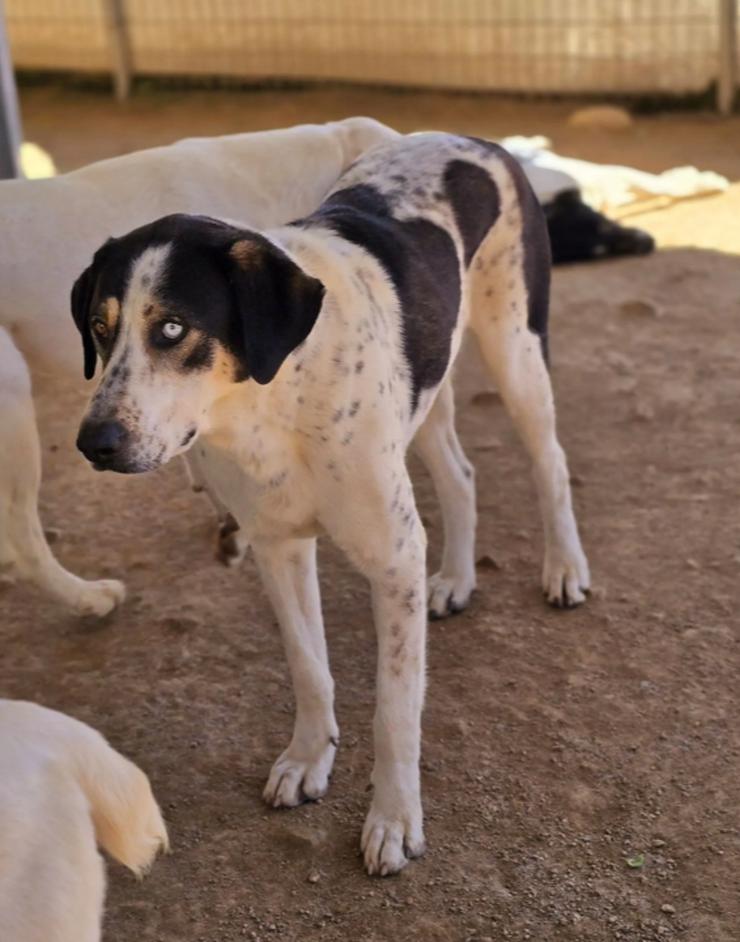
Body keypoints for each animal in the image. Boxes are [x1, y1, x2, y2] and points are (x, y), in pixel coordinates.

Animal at [71, 133, 588, 876]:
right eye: (98, 326)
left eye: (171, 328)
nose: (93, 443)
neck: (270, 403)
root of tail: (477, 140)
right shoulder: (278, 548)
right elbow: (309, 668)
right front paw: (308, 759)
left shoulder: (392, 560)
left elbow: (396, 709)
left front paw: (394, 820)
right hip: (428, 389)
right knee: (461, 475)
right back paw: (457, 579)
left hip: (516, 350)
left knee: (551, 462)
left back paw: (565, 569)